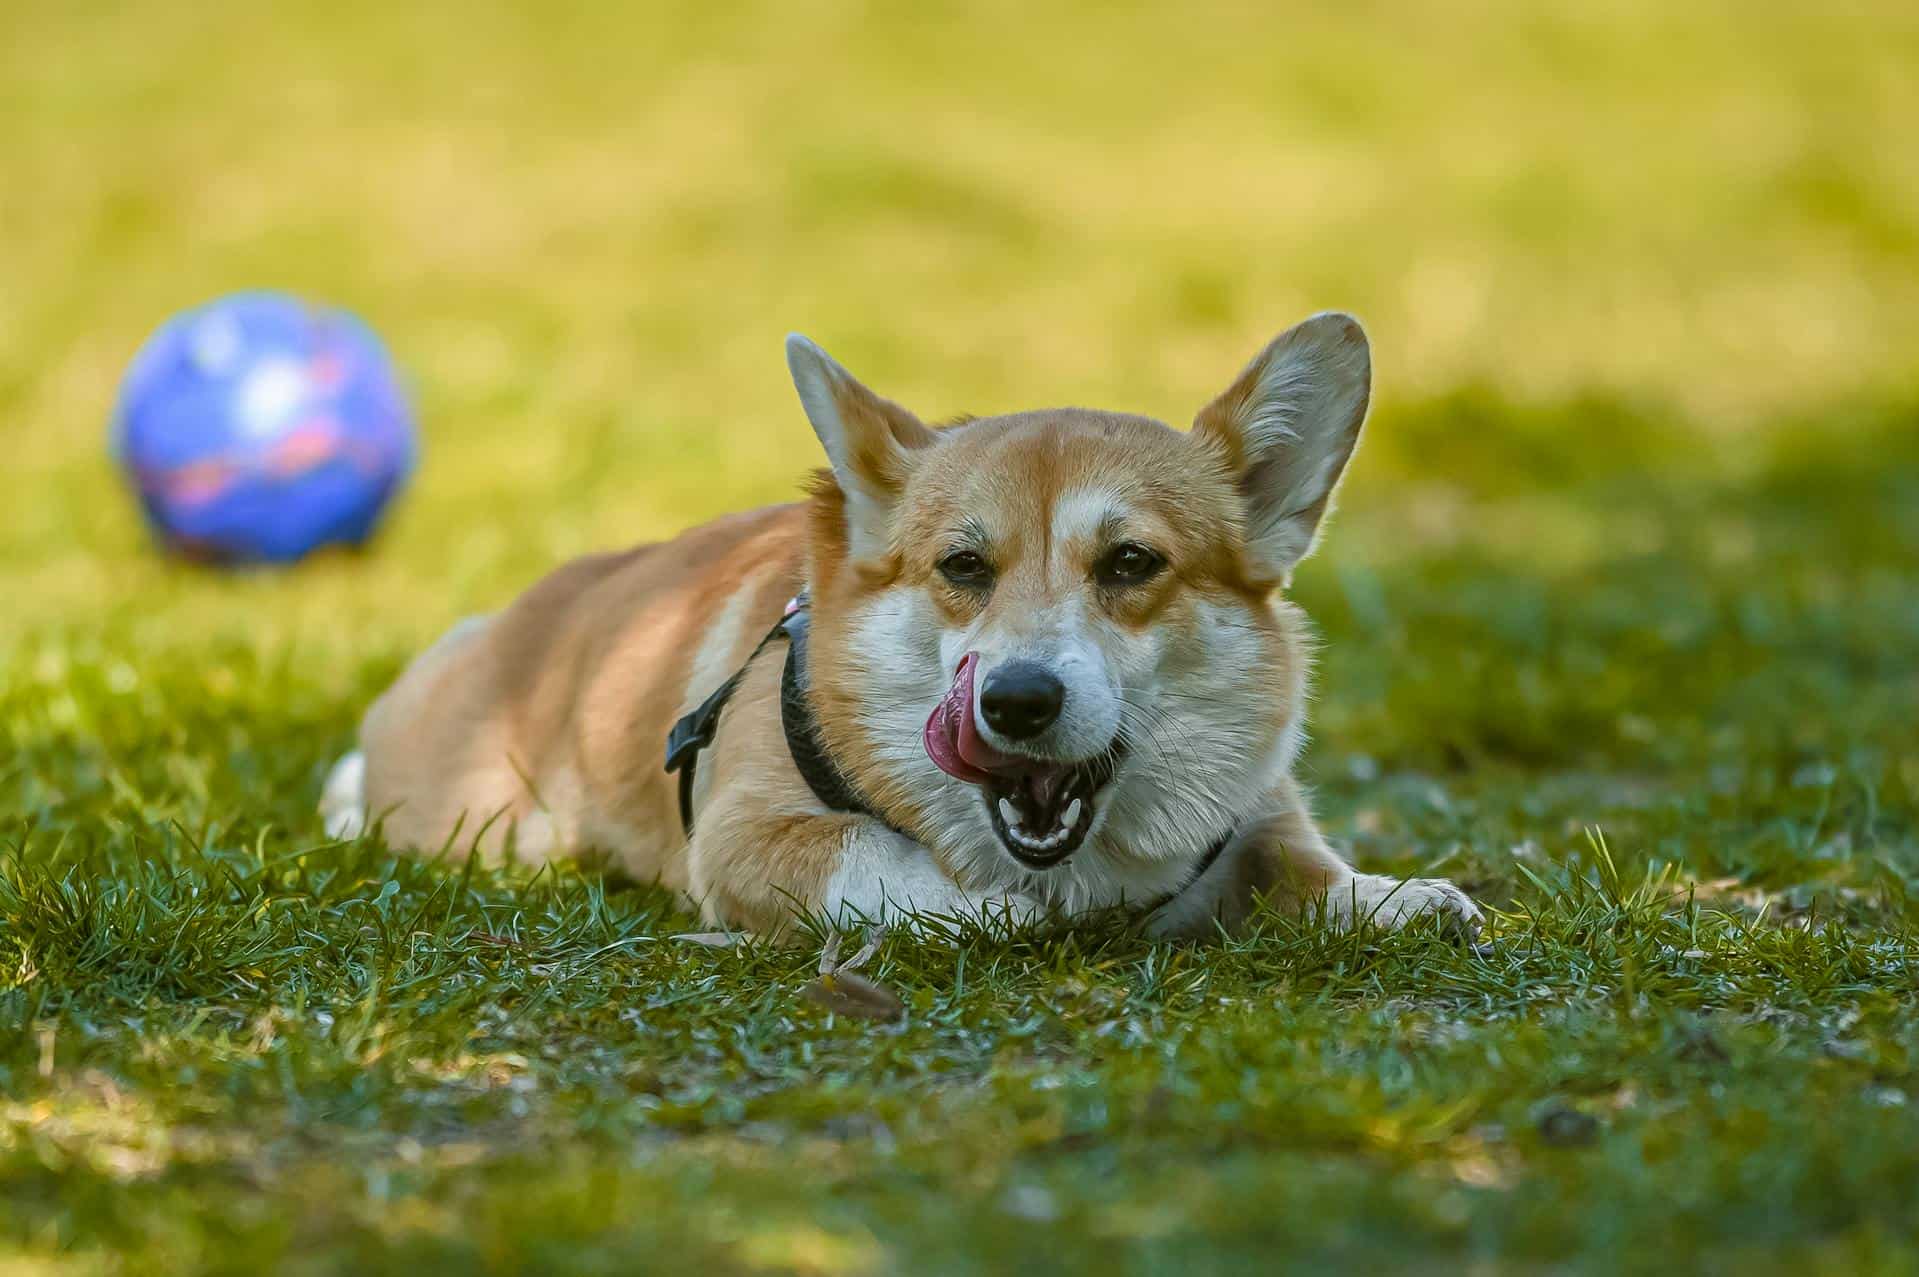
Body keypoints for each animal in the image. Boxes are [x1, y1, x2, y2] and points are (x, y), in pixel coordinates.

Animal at [318, 313, 1481, 937]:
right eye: (962, 566)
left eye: (1130, 564)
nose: (1017, 702)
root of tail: (505, 618)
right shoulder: (745, 839)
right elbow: (891, 864)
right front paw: (1006, 910)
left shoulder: (1258, 812)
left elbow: (1308, 865)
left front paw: (1399, 897)